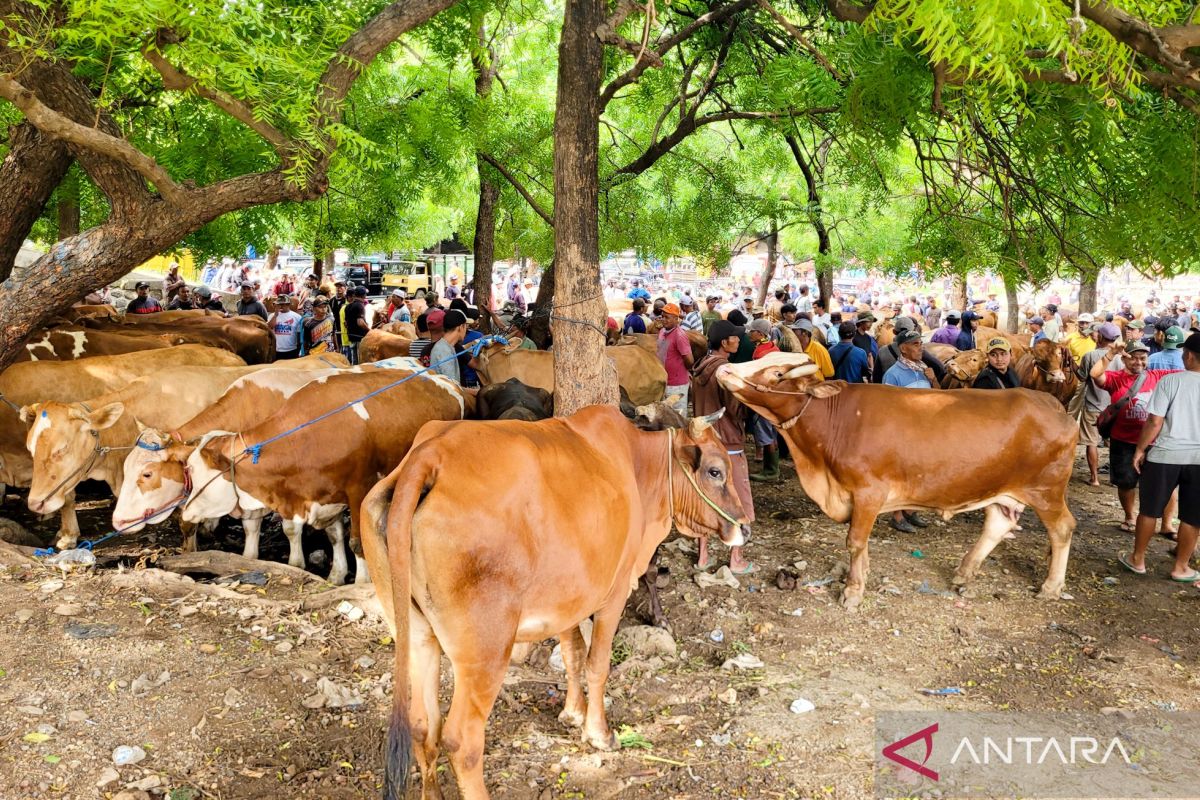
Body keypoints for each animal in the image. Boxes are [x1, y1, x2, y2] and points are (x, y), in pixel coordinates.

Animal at [357, 410, 748, 796]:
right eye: (716, 471)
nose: (745, 526)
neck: (639, 469)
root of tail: (428, 456)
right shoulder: (614, 592)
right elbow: (597, 664)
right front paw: (599, 733)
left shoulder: (570, 600)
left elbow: (573, 655)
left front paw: (572, 713)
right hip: (485, 651)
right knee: (461, 741)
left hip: (417, 635)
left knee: (424, 727)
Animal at [715, 352, 1084, 609]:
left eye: (777, 373)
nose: (724, 369)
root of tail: (1051, 403)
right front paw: (860, 579)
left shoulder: (868, 492)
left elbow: (855, 542)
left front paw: (853, 591)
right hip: (1001, 489)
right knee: (997, 524)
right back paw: (964, 575)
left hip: (1046, 491)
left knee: (1062, 528)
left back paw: (1051, 587)